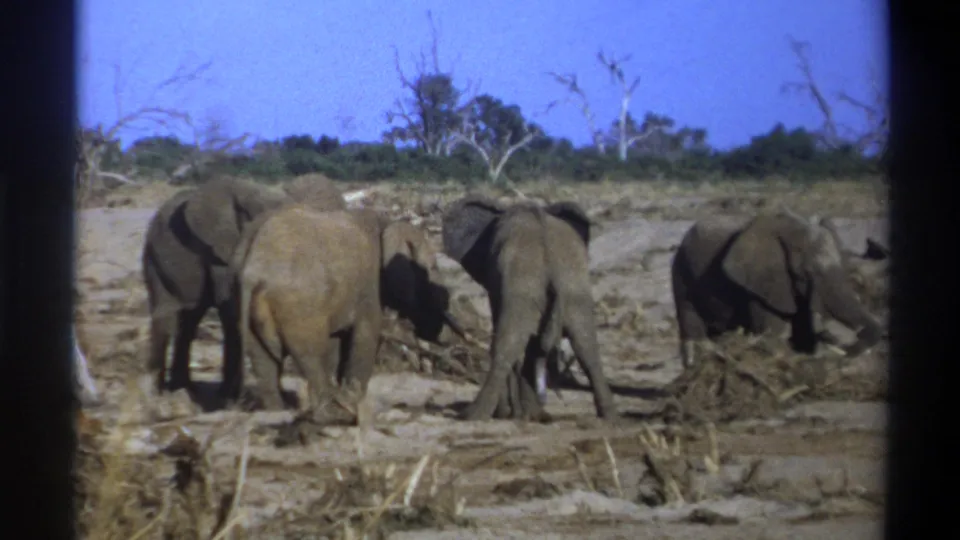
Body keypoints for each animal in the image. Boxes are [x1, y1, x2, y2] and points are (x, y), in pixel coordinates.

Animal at [140, 177, 298, 403]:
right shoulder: (219, 248)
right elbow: (231, 309)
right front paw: (230, 399)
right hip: (156, 253)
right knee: (167, 314)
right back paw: (159, 393)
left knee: (189, 320)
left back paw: (183, 388)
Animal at [229, 205, 465, 421]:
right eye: (432, 268)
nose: (452, 340)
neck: (386, 223)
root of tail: (254, 268)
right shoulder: (369, 287)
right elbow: (367, 334)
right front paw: (352, 400)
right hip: (300, 305)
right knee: (310, 355)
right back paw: (330, 413)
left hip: (240, 299)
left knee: (262, 359)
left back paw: (278, 411)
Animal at [441, 195, 618, 422]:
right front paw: (526, 413)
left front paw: (510, 413)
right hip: (574, 286)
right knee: (586, 346)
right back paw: (610, 417)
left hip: (525, 285)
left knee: (507, 343)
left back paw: (473, 415)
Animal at [670, 208, 884, 369]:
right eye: (805, 273)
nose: (829, 336)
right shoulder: (760, 283)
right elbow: (774, 332)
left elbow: (802, 333)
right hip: (680, 271)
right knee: (689, 317)